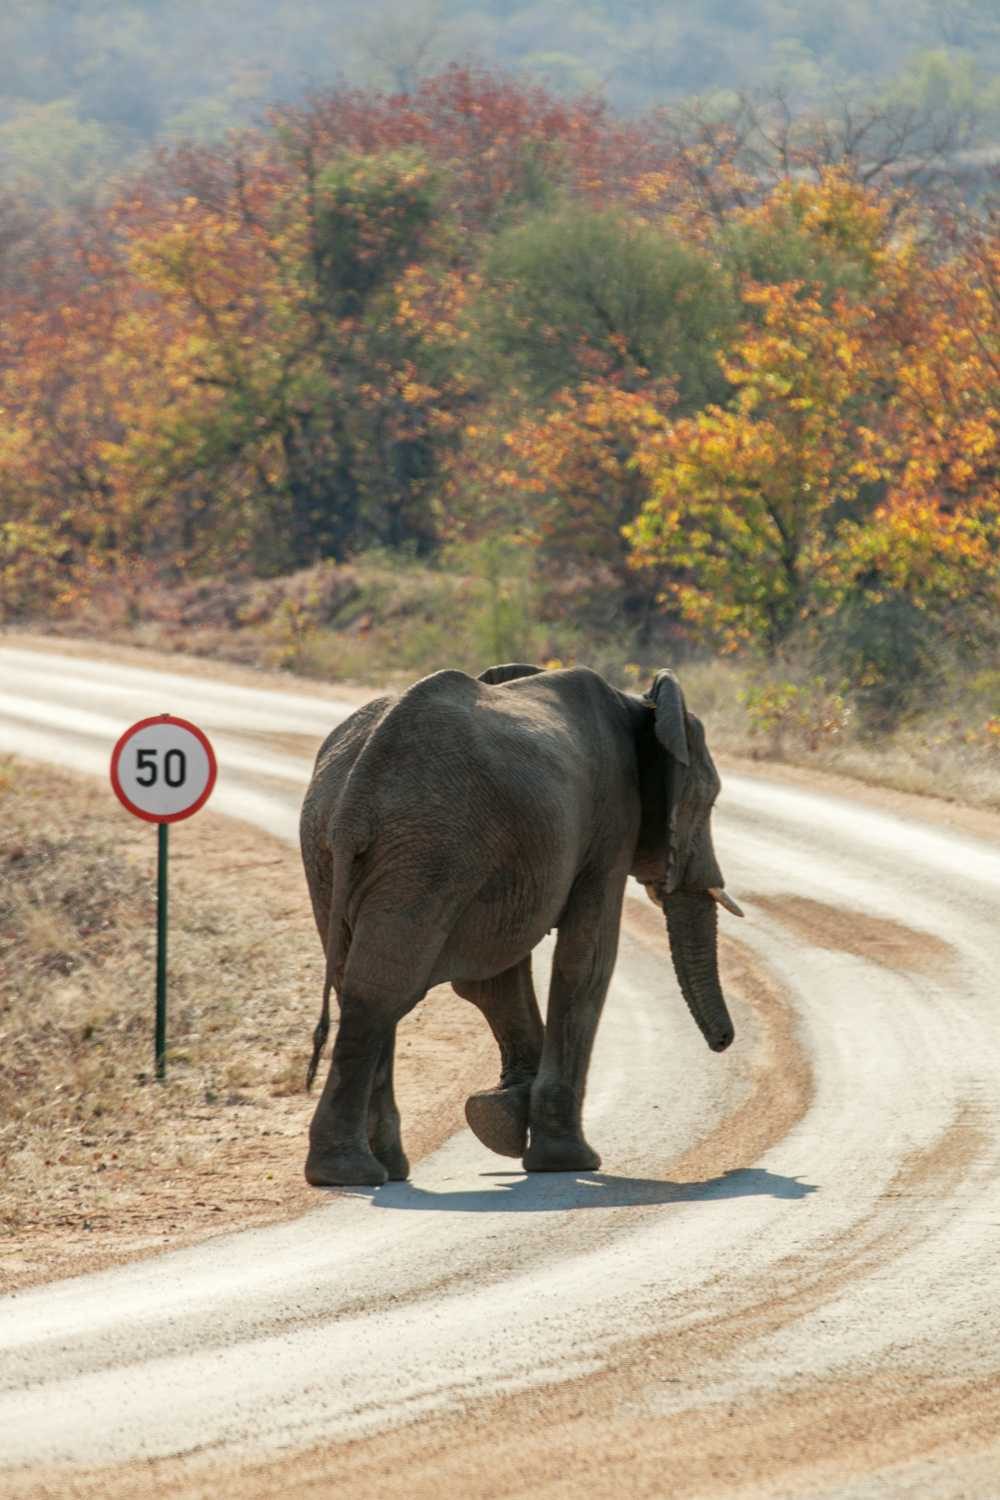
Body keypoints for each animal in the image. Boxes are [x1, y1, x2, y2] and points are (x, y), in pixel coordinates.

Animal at [298, 662, 742, 1187]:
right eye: (709, 801)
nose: (724, 1042)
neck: (638, 704)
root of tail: (354, 798)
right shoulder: (611, 819)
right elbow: (588, 959)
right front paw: (568, 1160)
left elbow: (495, 980)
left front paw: (500, 1117)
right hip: (428, 851)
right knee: (382, 990)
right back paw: (348, 1172)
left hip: (340, 852)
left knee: (363, 981)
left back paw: (384, 1168)